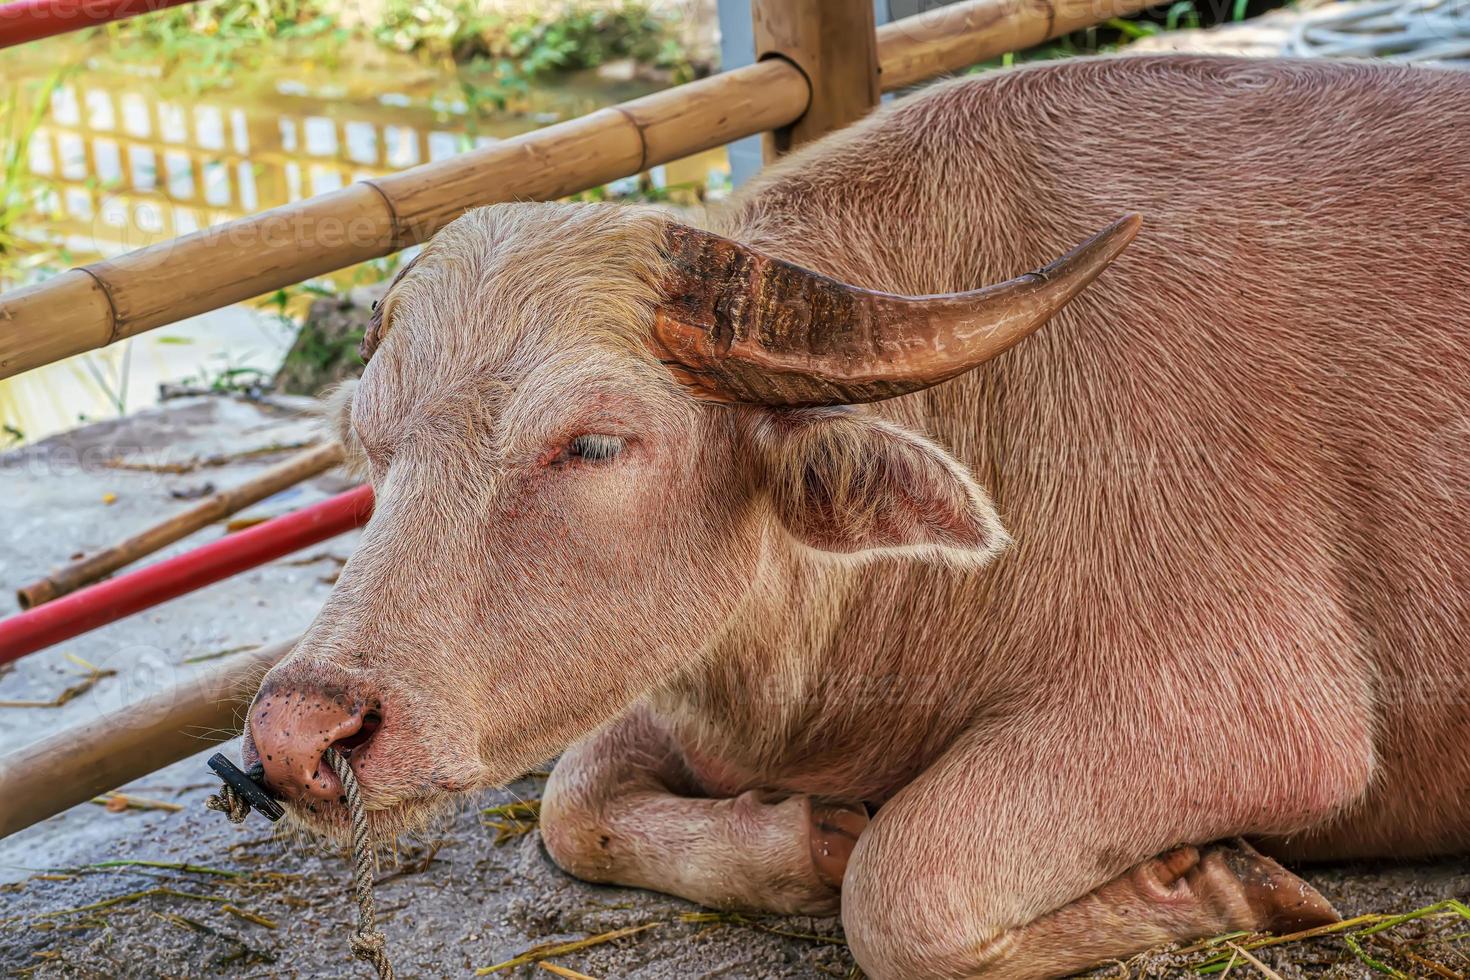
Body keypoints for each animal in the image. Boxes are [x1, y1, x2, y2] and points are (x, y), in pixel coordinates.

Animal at [244, 57, 1470, 975]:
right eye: (372, 442)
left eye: (591, 441)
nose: (298, 738)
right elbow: (572, 804)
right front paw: (811, 837)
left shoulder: (1260, 719)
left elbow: (900, 889)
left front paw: (1220, 878)